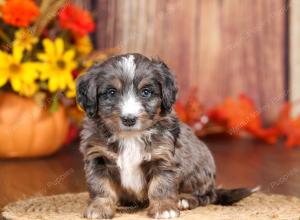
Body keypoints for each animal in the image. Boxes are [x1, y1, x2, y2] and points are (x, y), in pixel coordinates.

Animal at [77, 52, 255, 218]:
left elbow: (161, 185)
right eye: (111, 92)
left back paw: (184, 200)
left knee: (206, 196)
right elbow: (100, 186)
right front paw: (99, 208)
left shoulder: (163, 157)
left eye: (146, 92)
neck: (130, 136)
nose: (129, 119)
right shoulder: (97, 157)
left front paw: (164, 209)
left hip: (200, 172)